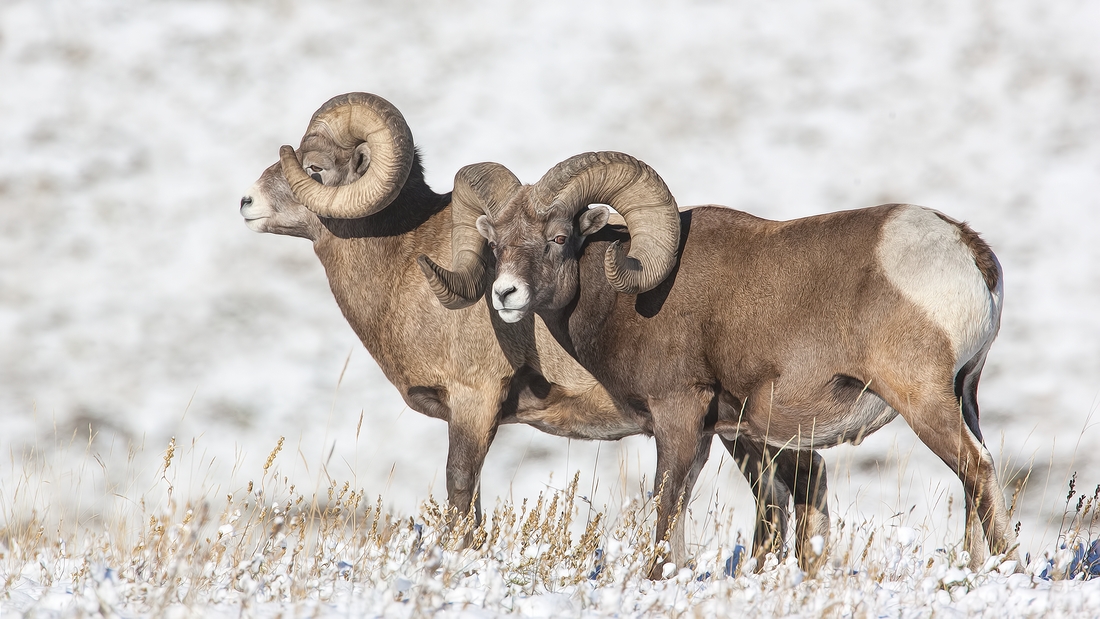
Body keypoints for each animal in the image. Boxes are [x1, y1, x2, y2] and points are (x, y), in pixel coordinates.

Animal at [418, 151, 1012, 576]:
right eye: (496, 244)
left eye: (559, 238)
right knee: (974, 476)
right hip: (965, 397)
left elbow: (666, 503)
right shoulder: (713, 431)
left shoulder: (678, 413)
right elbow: (681, 505)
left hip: (923, 401)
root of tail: (967, 249)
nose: (505, 294)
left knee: (976, 468)